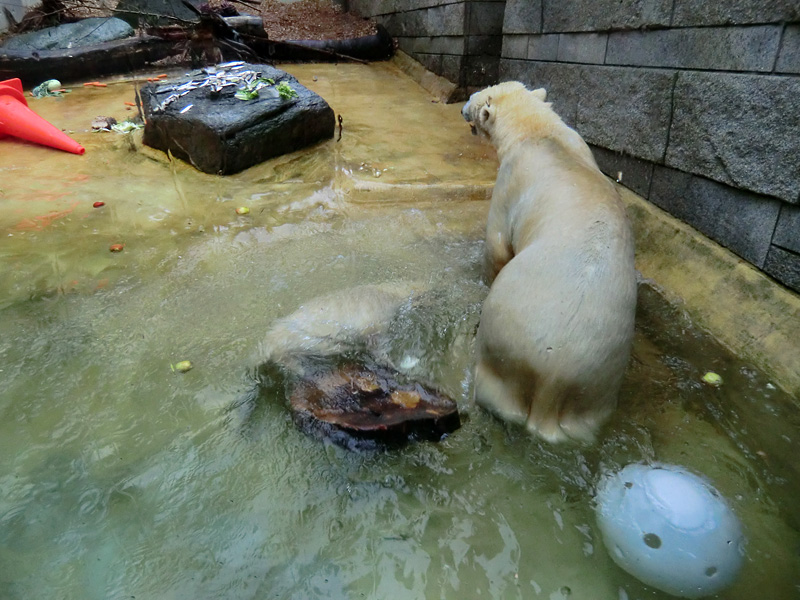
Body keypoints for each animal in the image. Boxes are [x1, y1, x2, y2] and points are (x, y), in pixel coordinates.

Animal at [462, 82, 636, 442]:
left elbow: (497, 246)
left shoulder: (509, 182)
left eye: (477, 96)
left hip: (504, 346)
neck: (539, 133)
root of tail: (550, 386)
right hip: (597, 390)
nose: (462, 106)